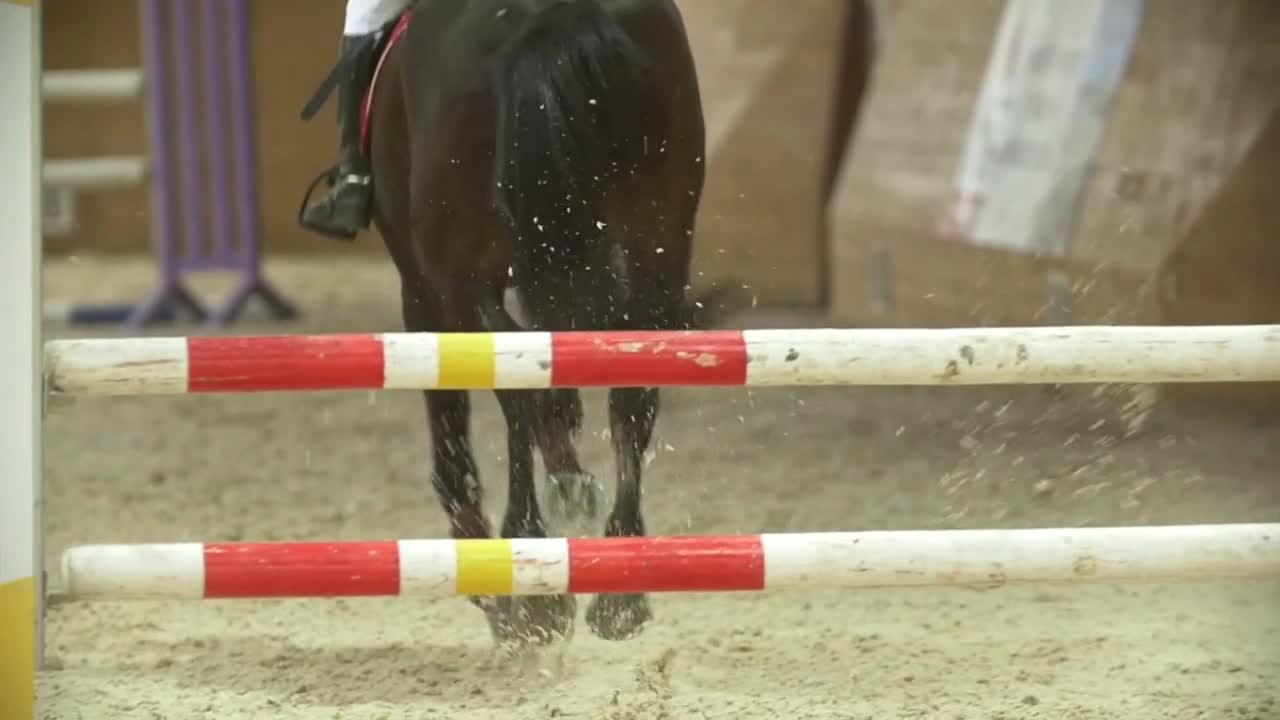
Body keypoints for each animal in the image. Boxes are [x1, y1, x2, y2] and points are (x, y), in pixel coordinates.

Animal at [360, 0, 706, 648]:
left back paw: (530, 561)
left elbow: (464, 410)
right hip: (660, 246)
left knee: (518, 387)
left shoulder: (424, 284)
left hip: (453, 276)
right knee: (627, 396)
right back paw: (616, 585)